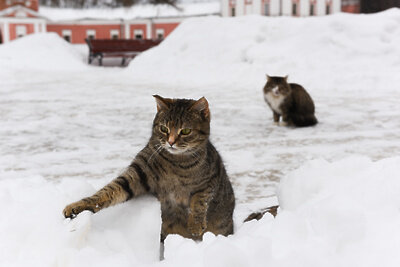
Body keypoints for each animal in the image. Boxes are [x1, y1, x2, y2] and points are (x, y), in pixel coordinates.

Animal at [64, 95, 236, 246]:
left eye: (185, 131)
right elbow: (107, 192)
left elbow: (200, 201)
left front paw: (195, 224)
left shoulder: (210, 181)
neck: (176, 164)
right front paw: (77, 206)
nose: (171, 142)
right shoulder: (137, 174)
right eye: (164, 128)